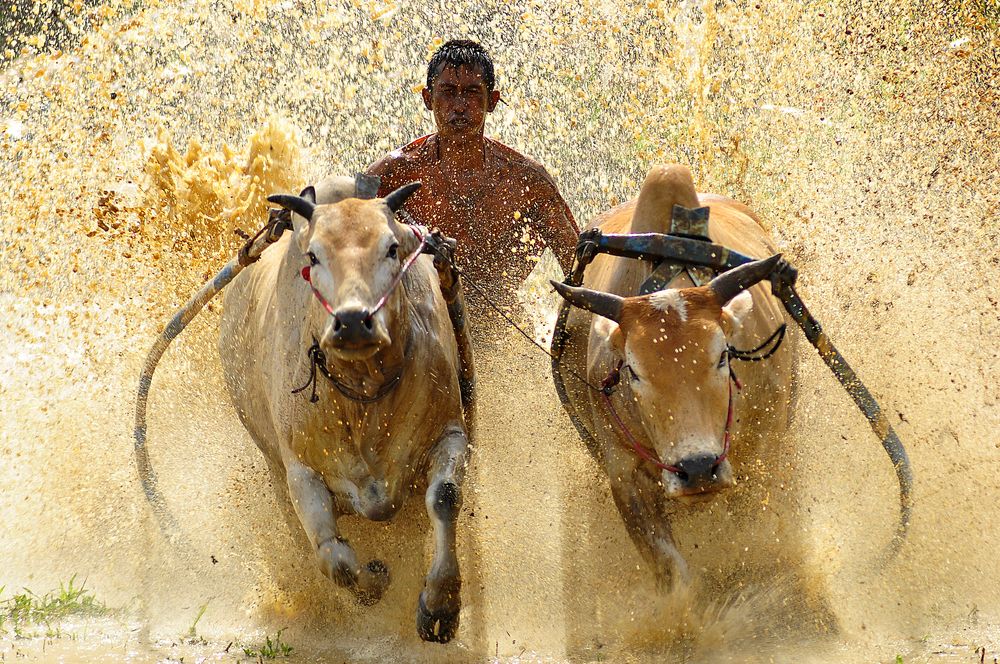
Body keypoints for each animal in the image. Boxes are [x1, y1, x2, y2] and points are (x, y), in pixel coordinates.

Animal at [217, 175, 473, 643]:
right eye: (314, 255)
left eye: (392, 248)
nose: (353, 320)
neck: (363, 395)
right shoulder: (300, 471)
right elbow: (333, 558)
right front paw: (374, 582)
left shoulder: (450, 432)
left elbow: (444, 498)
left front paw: (440, 604)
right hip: (273, 466)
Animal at [551, 164, 796, 588]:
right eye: (633, 371)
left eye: (722, 356)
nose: (696, 468)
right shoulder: (624, 474)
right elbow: (673, 573)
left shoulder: (765, 451)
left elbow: (755, 542)